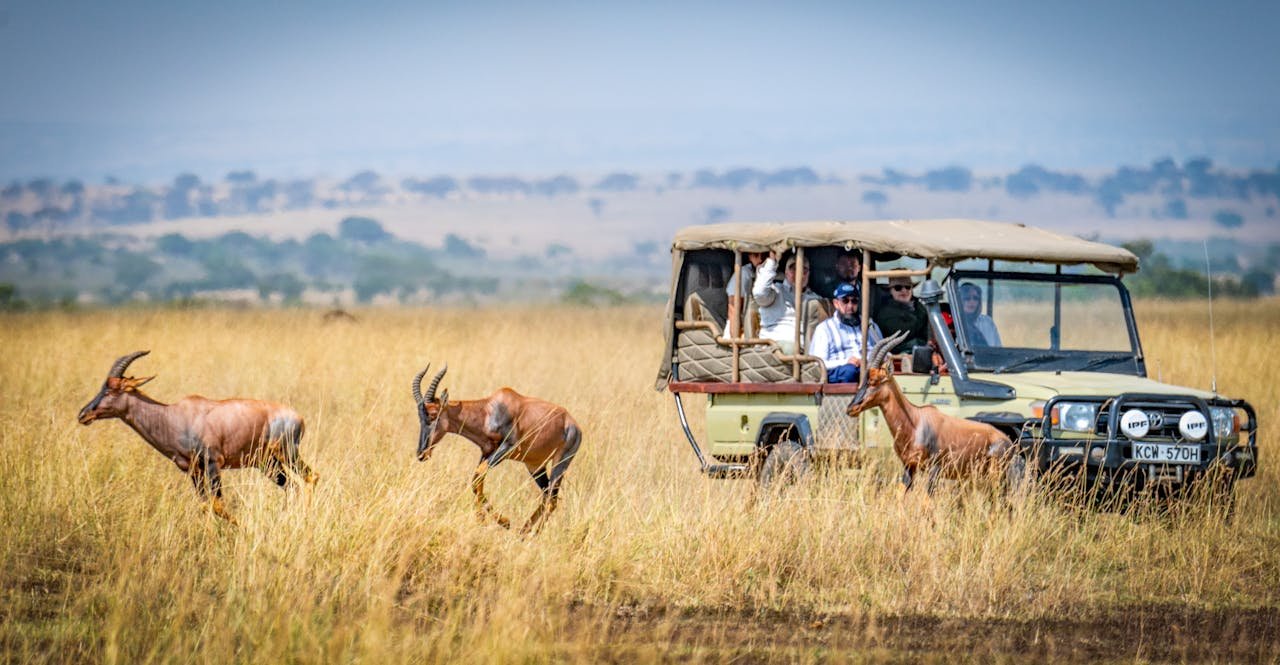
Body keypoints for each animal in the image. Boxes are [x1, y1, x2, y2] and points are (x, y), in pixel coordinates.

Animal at [77, 350, 317, 521]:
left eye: (112, 389)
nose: (83, 415)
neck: (175, 415)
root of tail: (298, 417)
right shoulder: (193, 470)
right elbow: (205, 505)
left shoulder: (212, 462)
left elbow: (218, 505)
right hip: (267, 463)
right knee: (293, 486)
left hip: (287, 454)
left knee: (311, 477)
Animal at [412, 363, 583, 534]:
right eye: (420, 417)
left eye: (433, 414)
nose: (421, 453)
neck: (490, 411)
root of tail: (573, 424)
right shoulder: (486, 452)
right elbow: (476, 480)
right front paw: (484, 520)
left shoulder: (507, 448)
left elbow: (478, 476)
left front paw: (503, 521)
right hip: (535, 466)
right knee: (547, 496)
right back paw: (523, 532)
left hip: (560, 462)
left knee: (552, 500)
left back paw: (533, 535)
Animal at [844, 329, 1013, 493]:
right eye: (864, 379)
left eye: (874, 381)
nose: (851, 408)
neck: (915, 421)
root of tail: (1008, 441)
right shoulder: (909, 467)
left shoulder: (934, 469)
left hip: (997, 474)